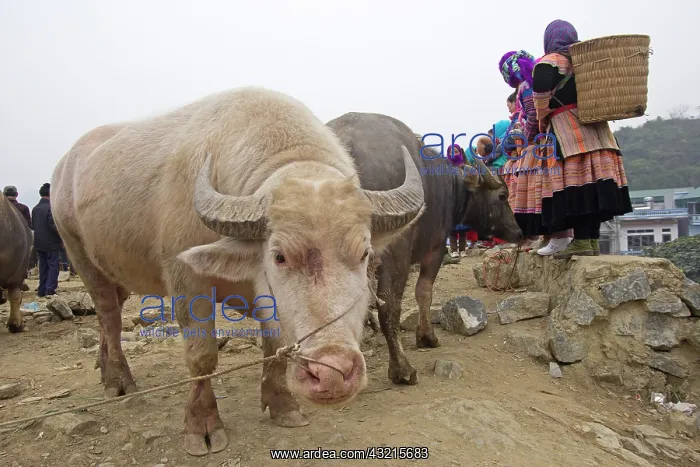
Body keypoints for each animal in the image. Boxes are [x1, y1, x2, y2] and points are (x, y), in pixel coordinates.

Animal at [50, 87, 425, 456]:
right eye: (279, 256)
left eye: (364, 253)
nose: (332, 373)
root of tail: (65, 168)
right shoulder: (186, 280)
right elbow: (201, 356)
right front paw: (203, 425)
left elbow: (275, 344)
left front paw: (282, 405)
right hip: (79, 255)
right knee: (109, 317)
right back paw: (119, 382)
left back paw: (105, 371)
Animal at [325, 112, 522, 385]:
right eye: (502, 196)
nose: (518, 231)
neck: (452, 186)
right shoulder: (436, 249)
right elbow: (424, 292)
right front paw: (427, 336)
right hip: (394, 251)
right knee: (390, 305)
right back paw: (402, 369)